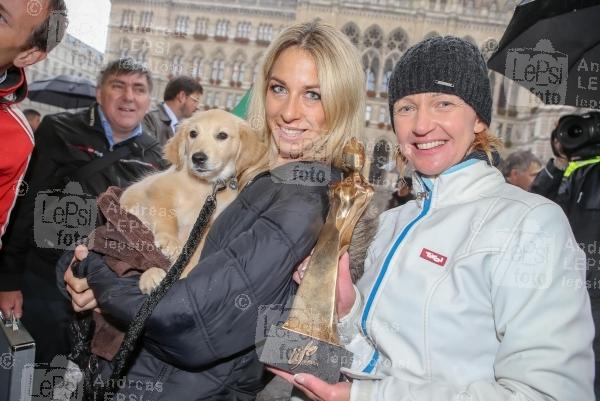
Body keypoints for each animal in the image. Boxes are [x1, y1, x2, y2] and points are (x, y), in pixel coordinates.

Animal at [119, 109, 264, 294]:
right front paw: (169, 240)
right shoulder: (159, 188)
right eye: (193, 134)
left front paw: (181, 272)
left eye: (222, 135)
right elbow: (166, 215)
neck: (204, 186)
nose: (198, 158)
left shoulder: (206, 225)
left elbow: (194, 253)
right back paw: (150, 276)